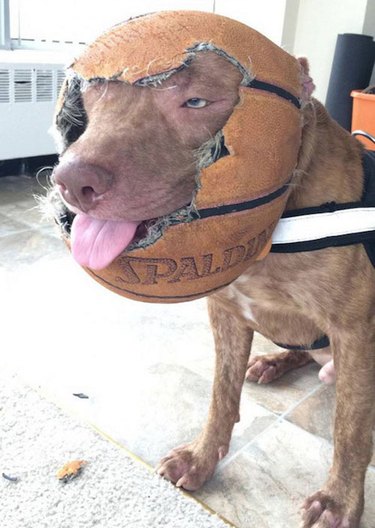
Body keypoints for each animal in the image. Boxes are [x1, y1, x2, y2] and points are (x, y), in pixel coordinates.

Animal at [51, 49, 374, 528]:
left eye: (197, 102)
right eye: (94, 102)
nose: (69, 181)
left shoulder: (355, 330)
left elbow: (350, 429)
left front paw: (339, 501)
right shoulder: (225, 312)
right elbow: (221, 395)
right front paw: (202, 458)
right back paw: (273, 362)